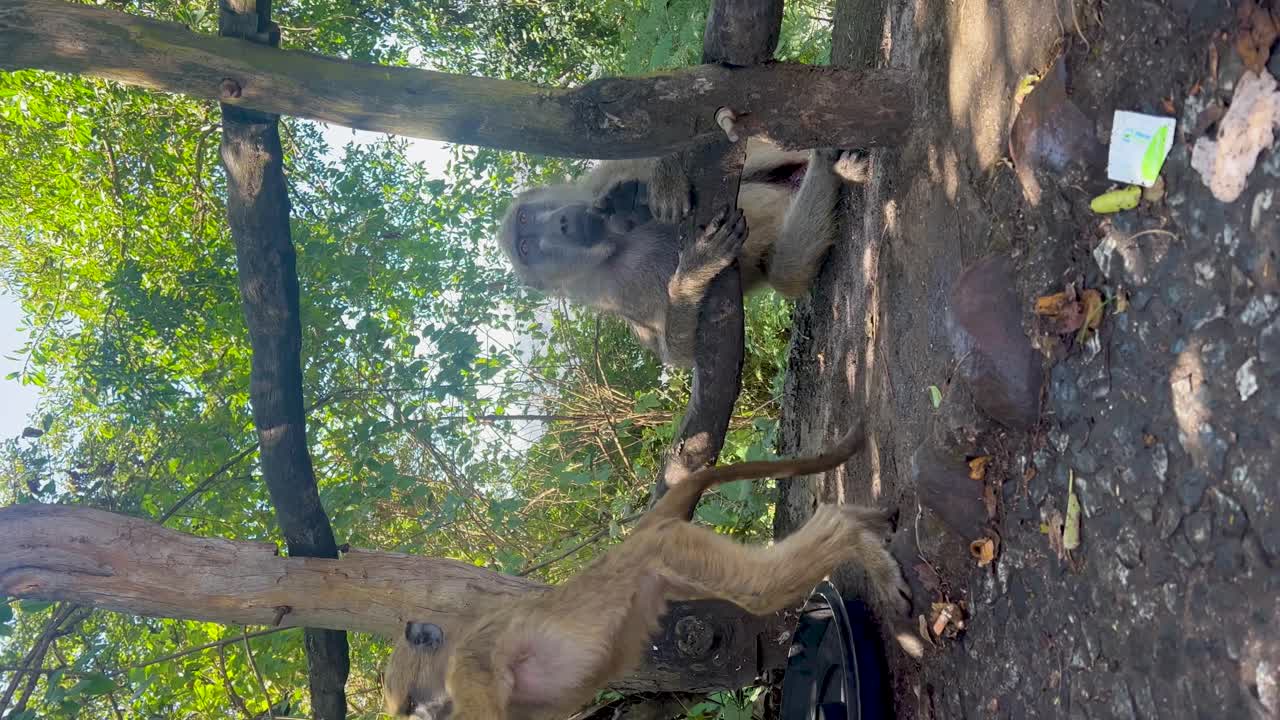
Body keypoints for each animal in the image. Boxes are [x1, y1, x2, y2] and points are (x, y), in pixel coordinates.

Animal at [381, 420, 911, 720]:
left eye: (410, 705)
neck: (453, 647)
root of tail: (640, 532)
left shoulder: (471, 669)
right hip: (672, 566)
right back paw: (869, 522)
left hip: (672, 549)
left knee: (760, 589)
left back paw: (851, 532)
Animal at [498, 138, 868, 368]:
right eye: (526, 248)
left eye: (525, 218)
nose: (560, 223)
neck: (615, 243)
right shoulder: (614, 291)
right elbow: (680, 355)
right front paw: (693, 271)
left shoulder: (595, 183)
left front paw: (661, 178)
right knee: (784, 273)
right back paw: (828, 170)